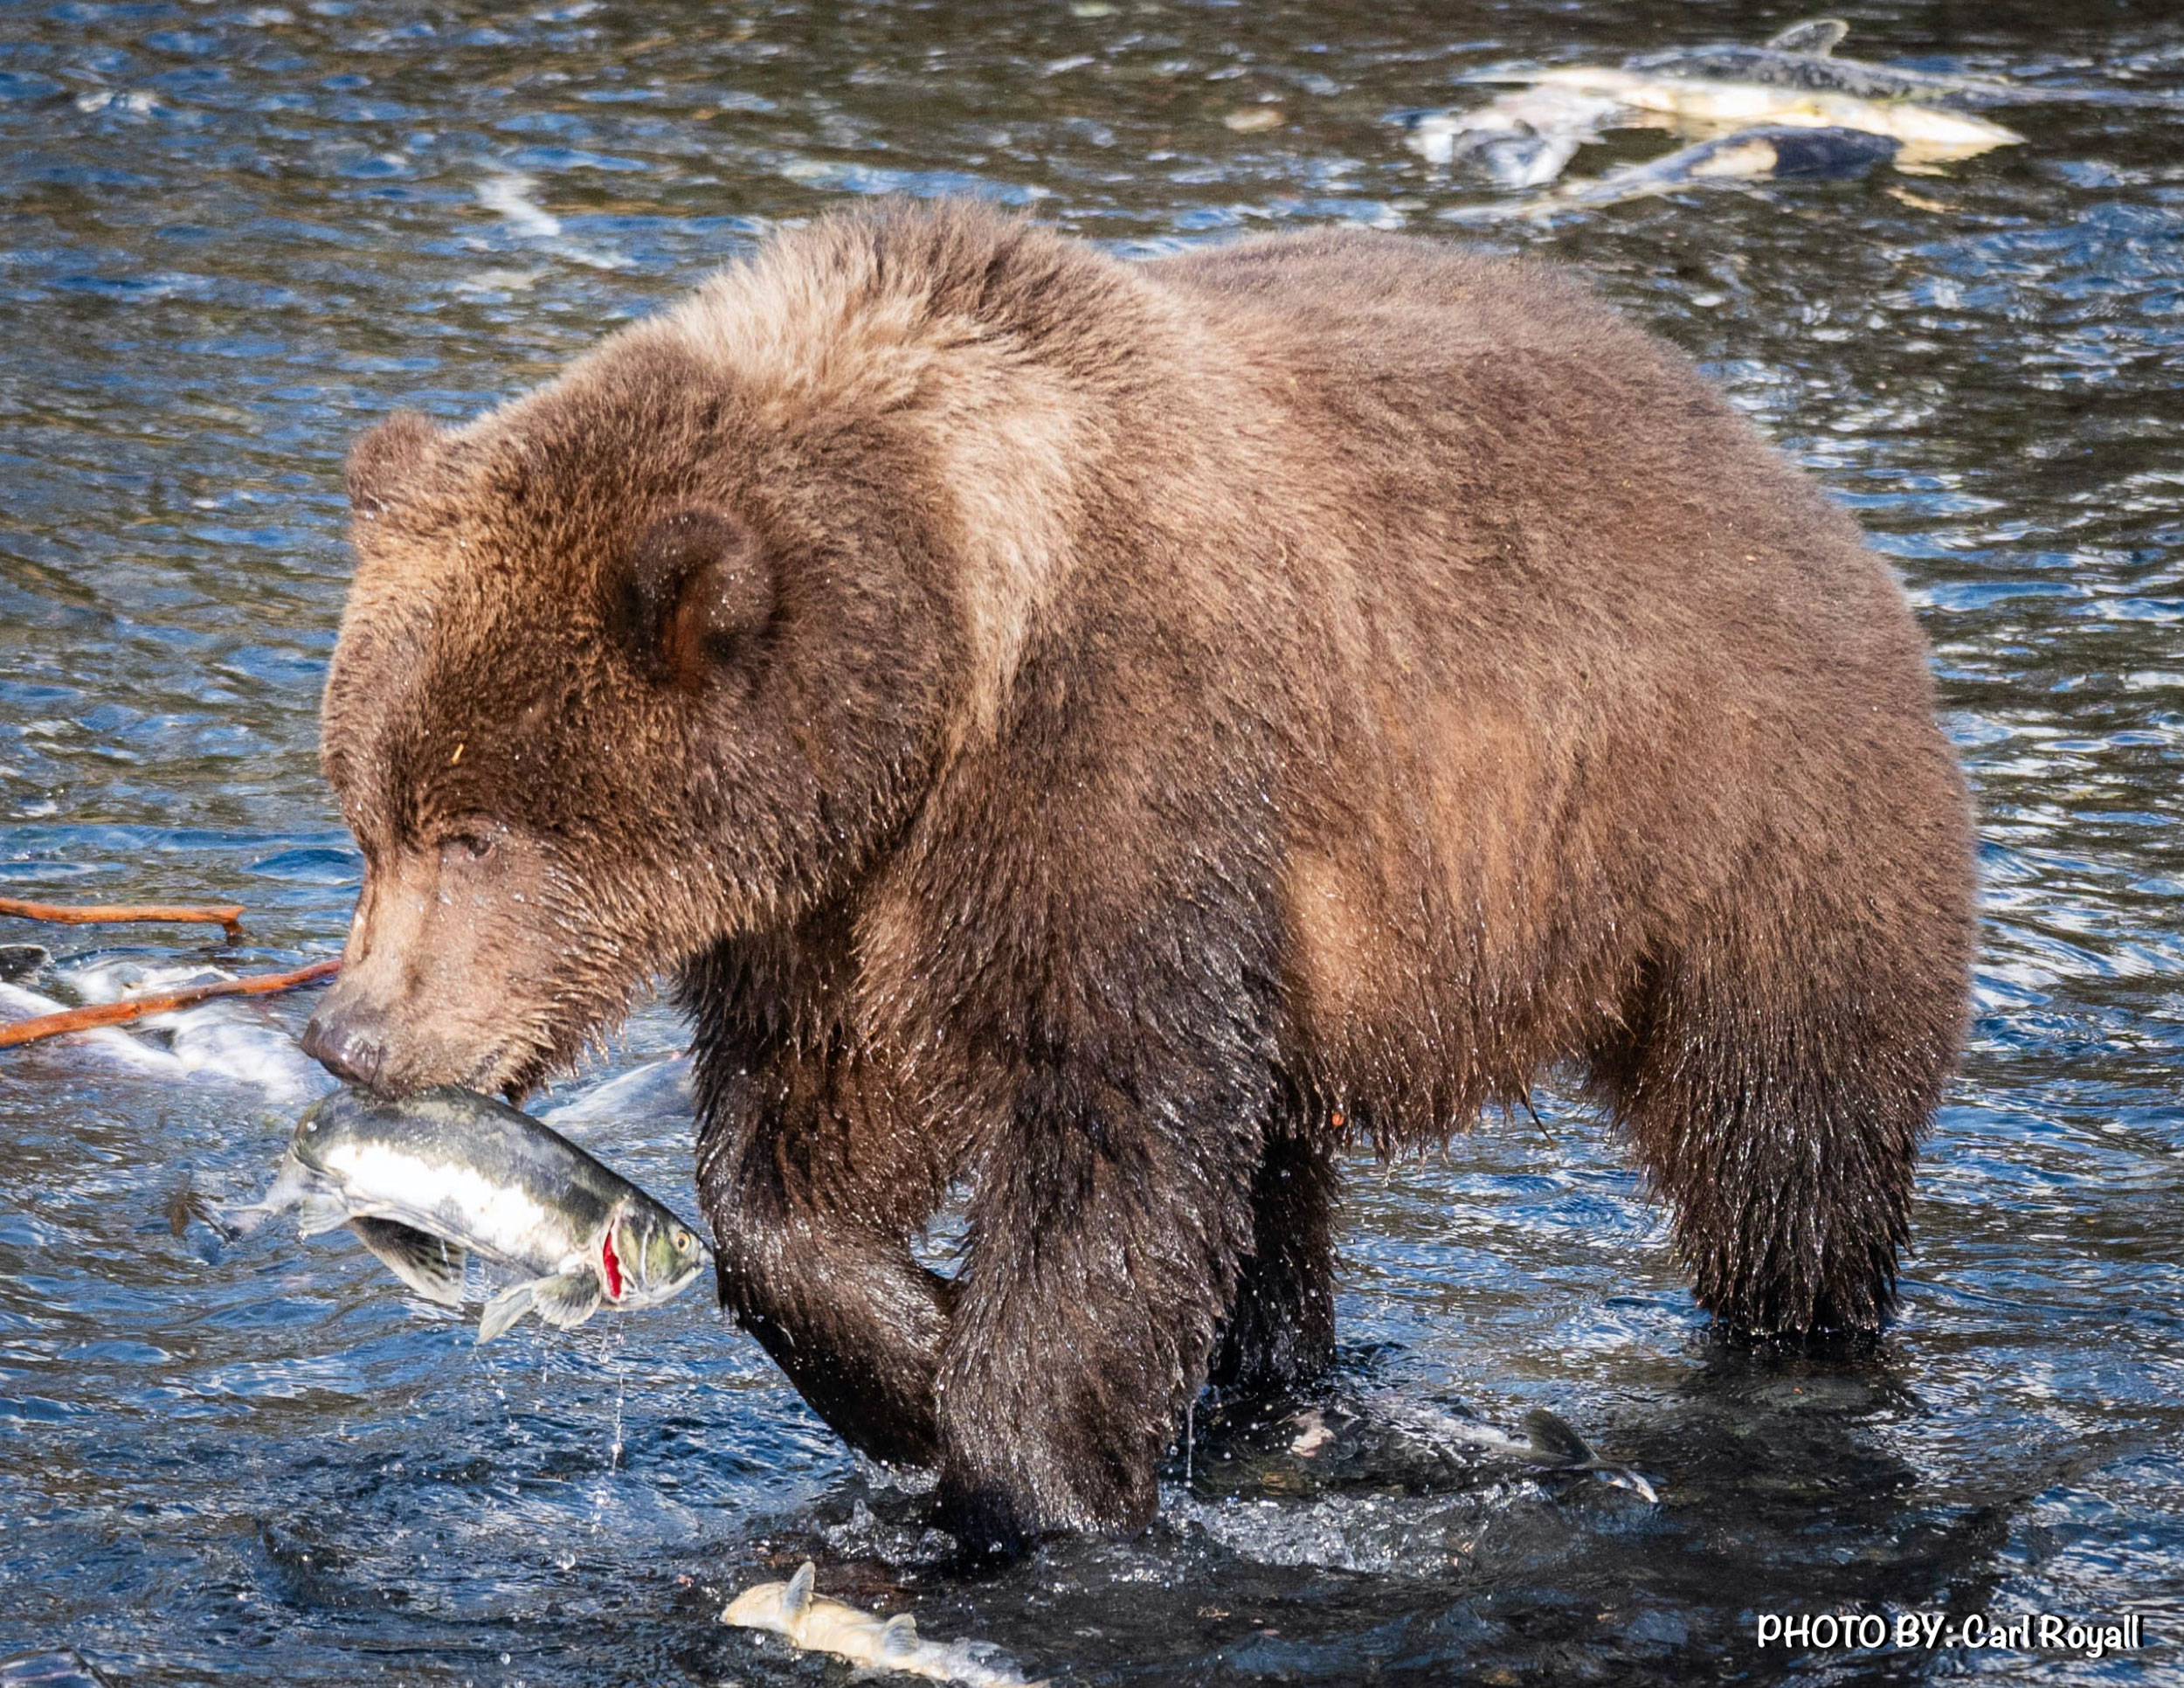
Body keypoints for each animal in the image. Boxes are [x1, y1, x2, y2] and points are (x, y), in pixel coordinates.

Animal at [299, 197, 1992, 1554]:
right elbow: (801, 1154)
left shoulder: (1117, 775)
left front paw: (1023, 1461)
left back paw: (1793, 1351)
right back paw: (1276, 1391)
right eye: (371, 815)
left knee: (1786, 1140)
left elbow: (1116, 1129)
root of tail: (1794, 484)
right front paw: (911, 1349)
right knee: (1277, 1196)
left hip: (1751, 834)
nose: (353, 1034)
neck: (942, 658)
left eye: (476, 833)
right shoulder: (844, 903)